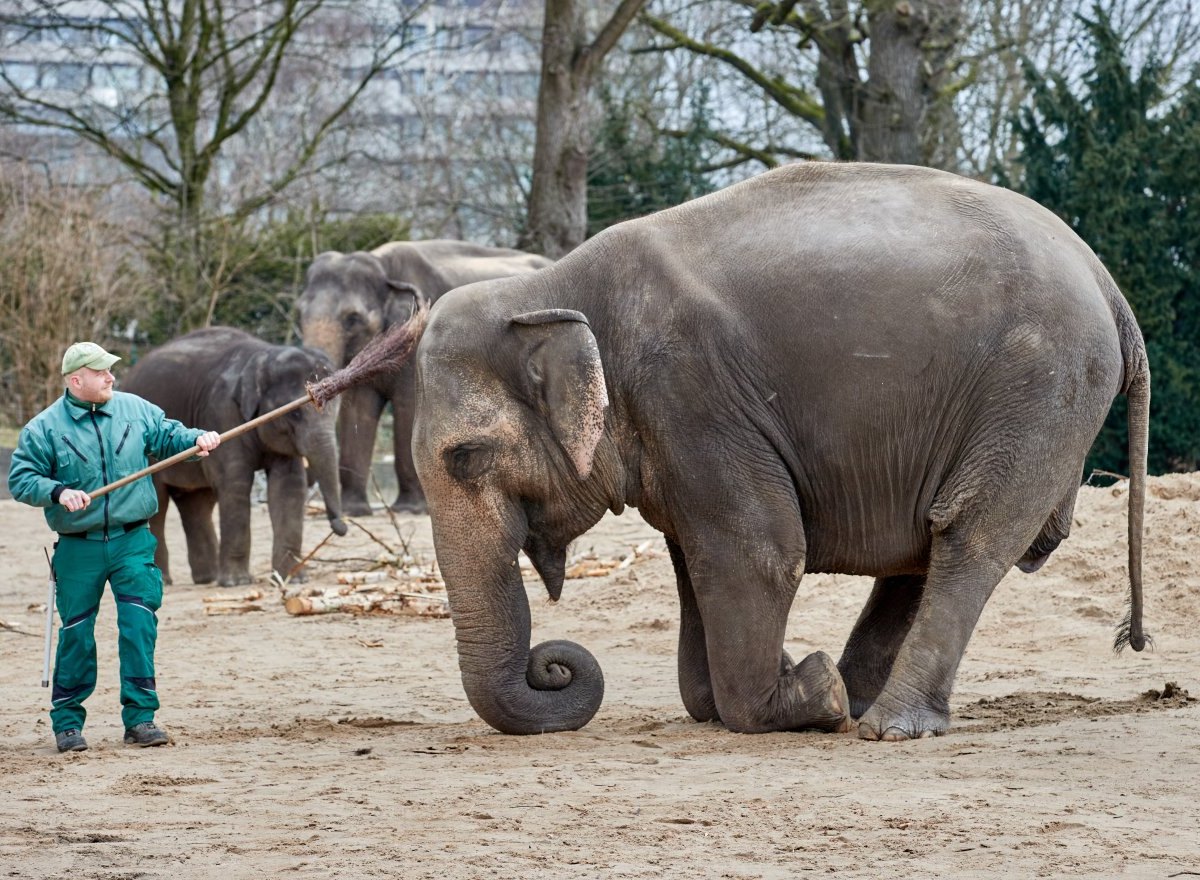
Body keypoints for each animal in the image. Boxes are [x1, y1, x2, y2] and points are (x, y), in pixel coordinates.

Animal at [123, 326, 348, 585]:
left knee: (197, 503)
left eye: (336, 412)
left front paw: (293, 579)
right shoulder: (222, 412)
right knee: (158, 504)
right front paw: (237, 582)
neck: (263, 355)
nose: (340, 527)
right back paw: (167, 580)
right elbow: (235, 484)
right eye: (295, 414)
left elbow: (289, 487)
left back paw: (207, 578)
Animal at [297, 236, 549, 518]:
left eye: (352, 319)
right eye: (299, 314)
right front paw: (355, 511)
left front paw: (408, 509)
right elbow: (358, 409)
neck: (383, 266)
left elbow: (407, 407)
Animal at [412, 160, 1152, 739]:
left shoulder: (693, 394)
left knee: (968, 534)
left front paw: (801, 691)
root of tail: (1105, 280)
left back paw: (880, 721)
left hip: (1039, 390)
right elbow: (694, 558)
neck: (551, 289)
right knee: (925, 546)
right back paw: (854, 700)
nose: (553, 663)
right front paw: (782, 686)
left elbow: (755, 552)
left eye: (464, 457)